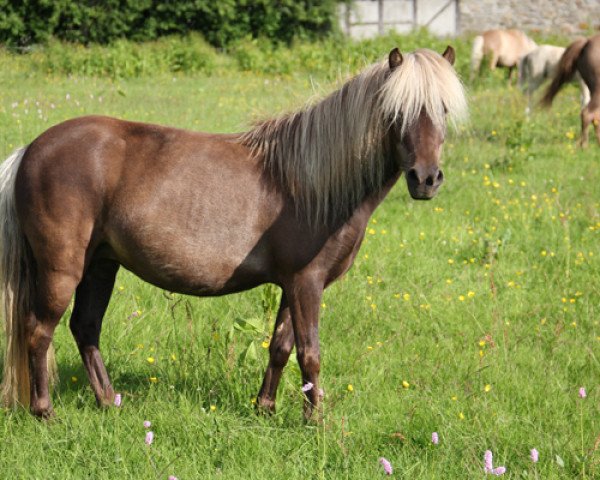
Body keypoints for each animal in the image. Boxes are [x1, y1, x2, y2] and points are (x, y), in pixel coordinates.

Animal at [0, 47, 468, 418]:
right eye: (397, 112)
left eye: (443, 109)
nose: (426, 179)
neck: (309, 184)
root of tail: (30, 149)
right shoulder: (307, 283)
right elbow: (310, 353)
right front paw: (315, 421)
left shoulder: (291, 284)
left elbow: (280, 347)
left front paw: (266, 408)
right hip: (62, 269)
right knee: (38, 331)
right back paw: (45, 412)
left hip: (100, 265)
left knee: (85, 328)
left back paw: (108, 402)